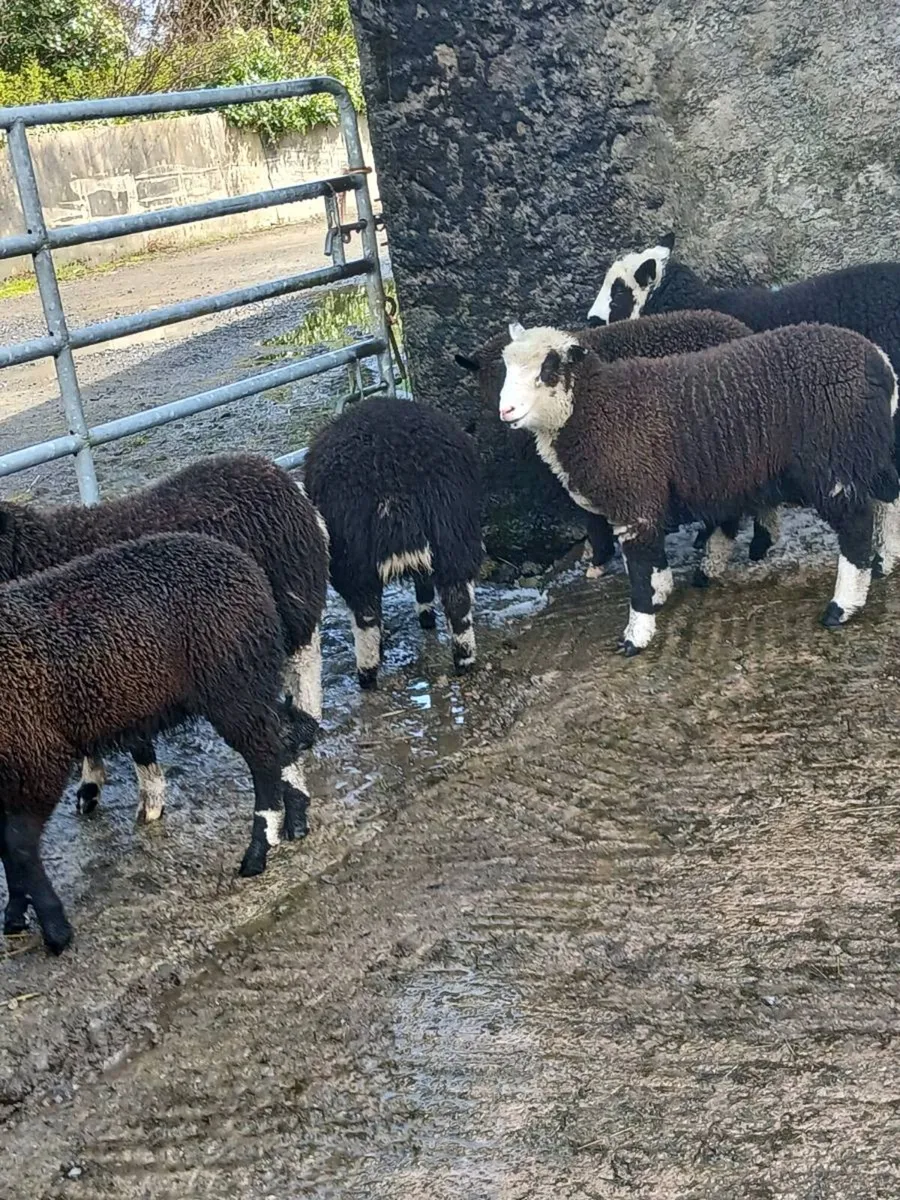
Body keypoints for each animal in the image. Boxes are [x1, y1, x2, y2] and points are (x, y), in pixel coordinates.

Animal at [0, 454, 328, 821]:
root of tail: (280, 476)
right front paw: (91, 784)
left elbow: (137, 741)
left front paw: (150, 799)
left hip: (292, 596)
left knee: (304, 661)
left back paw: (307, 716)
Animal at [0, 532, 319, 955]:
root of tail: (243, 564)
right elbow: (7, 849)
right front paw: (16, 914)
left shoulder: (37, 756)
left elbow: (18, 846)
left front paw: (54, 929)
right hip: (245, 683)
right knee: (288, 735)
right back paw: (293, 819)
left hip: (232, 685)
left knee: (265, 757)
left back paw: (257, 852)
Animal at [304, 396, 483, 688]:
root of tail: (391, 475)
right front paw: (426, 617)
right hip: (453, 534)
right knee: (458, 601)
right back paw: (464, 660)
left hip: (351, 559)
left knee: (366, 616)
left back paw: (367, 674)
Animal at [498, 320, 900, 654]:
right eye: (507, 368)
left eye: (548, 369)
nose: (506, 411)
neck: (594, 407)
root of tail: (878, 361)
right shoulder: (644, 497)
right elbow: (650, 558)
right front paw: (661, 593)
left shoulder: (634, 494)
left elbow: (639, 568)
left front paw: (636, 635)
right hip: (863, 449)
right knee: (889, 493)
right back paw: (885, 561)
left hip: (833, 460)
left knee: (855, 524)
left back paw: (842, 606)